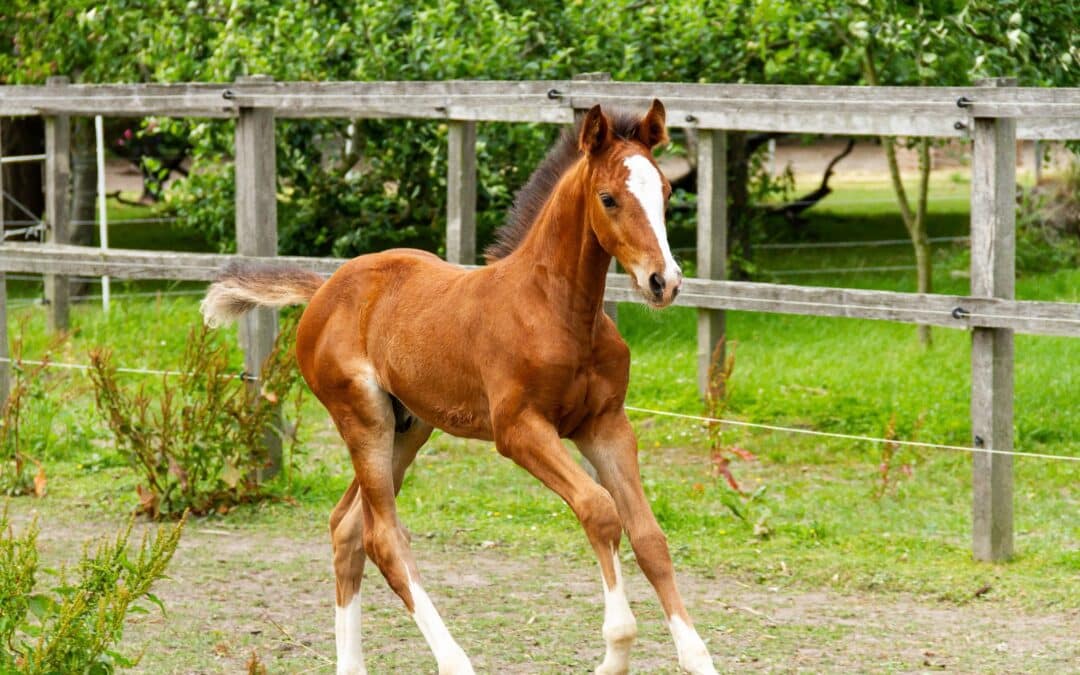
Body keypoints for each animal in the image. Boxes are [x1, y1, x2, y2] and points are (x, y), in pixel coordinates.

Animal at [204, 101, 717, 673]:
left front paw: (698, 659)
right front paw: (615, 652)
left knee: (347, 527)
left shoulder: (605, 425)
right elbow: (600, 510)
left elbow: (649, 536)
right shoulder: (518, 430)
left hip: (409, 427)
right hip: (364, 419)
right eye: (608, 198)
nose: (663, 282)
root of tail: (323, 290)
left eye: (666, 194)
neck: (559, 310)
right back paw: (455, 661)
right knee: (383, 537)